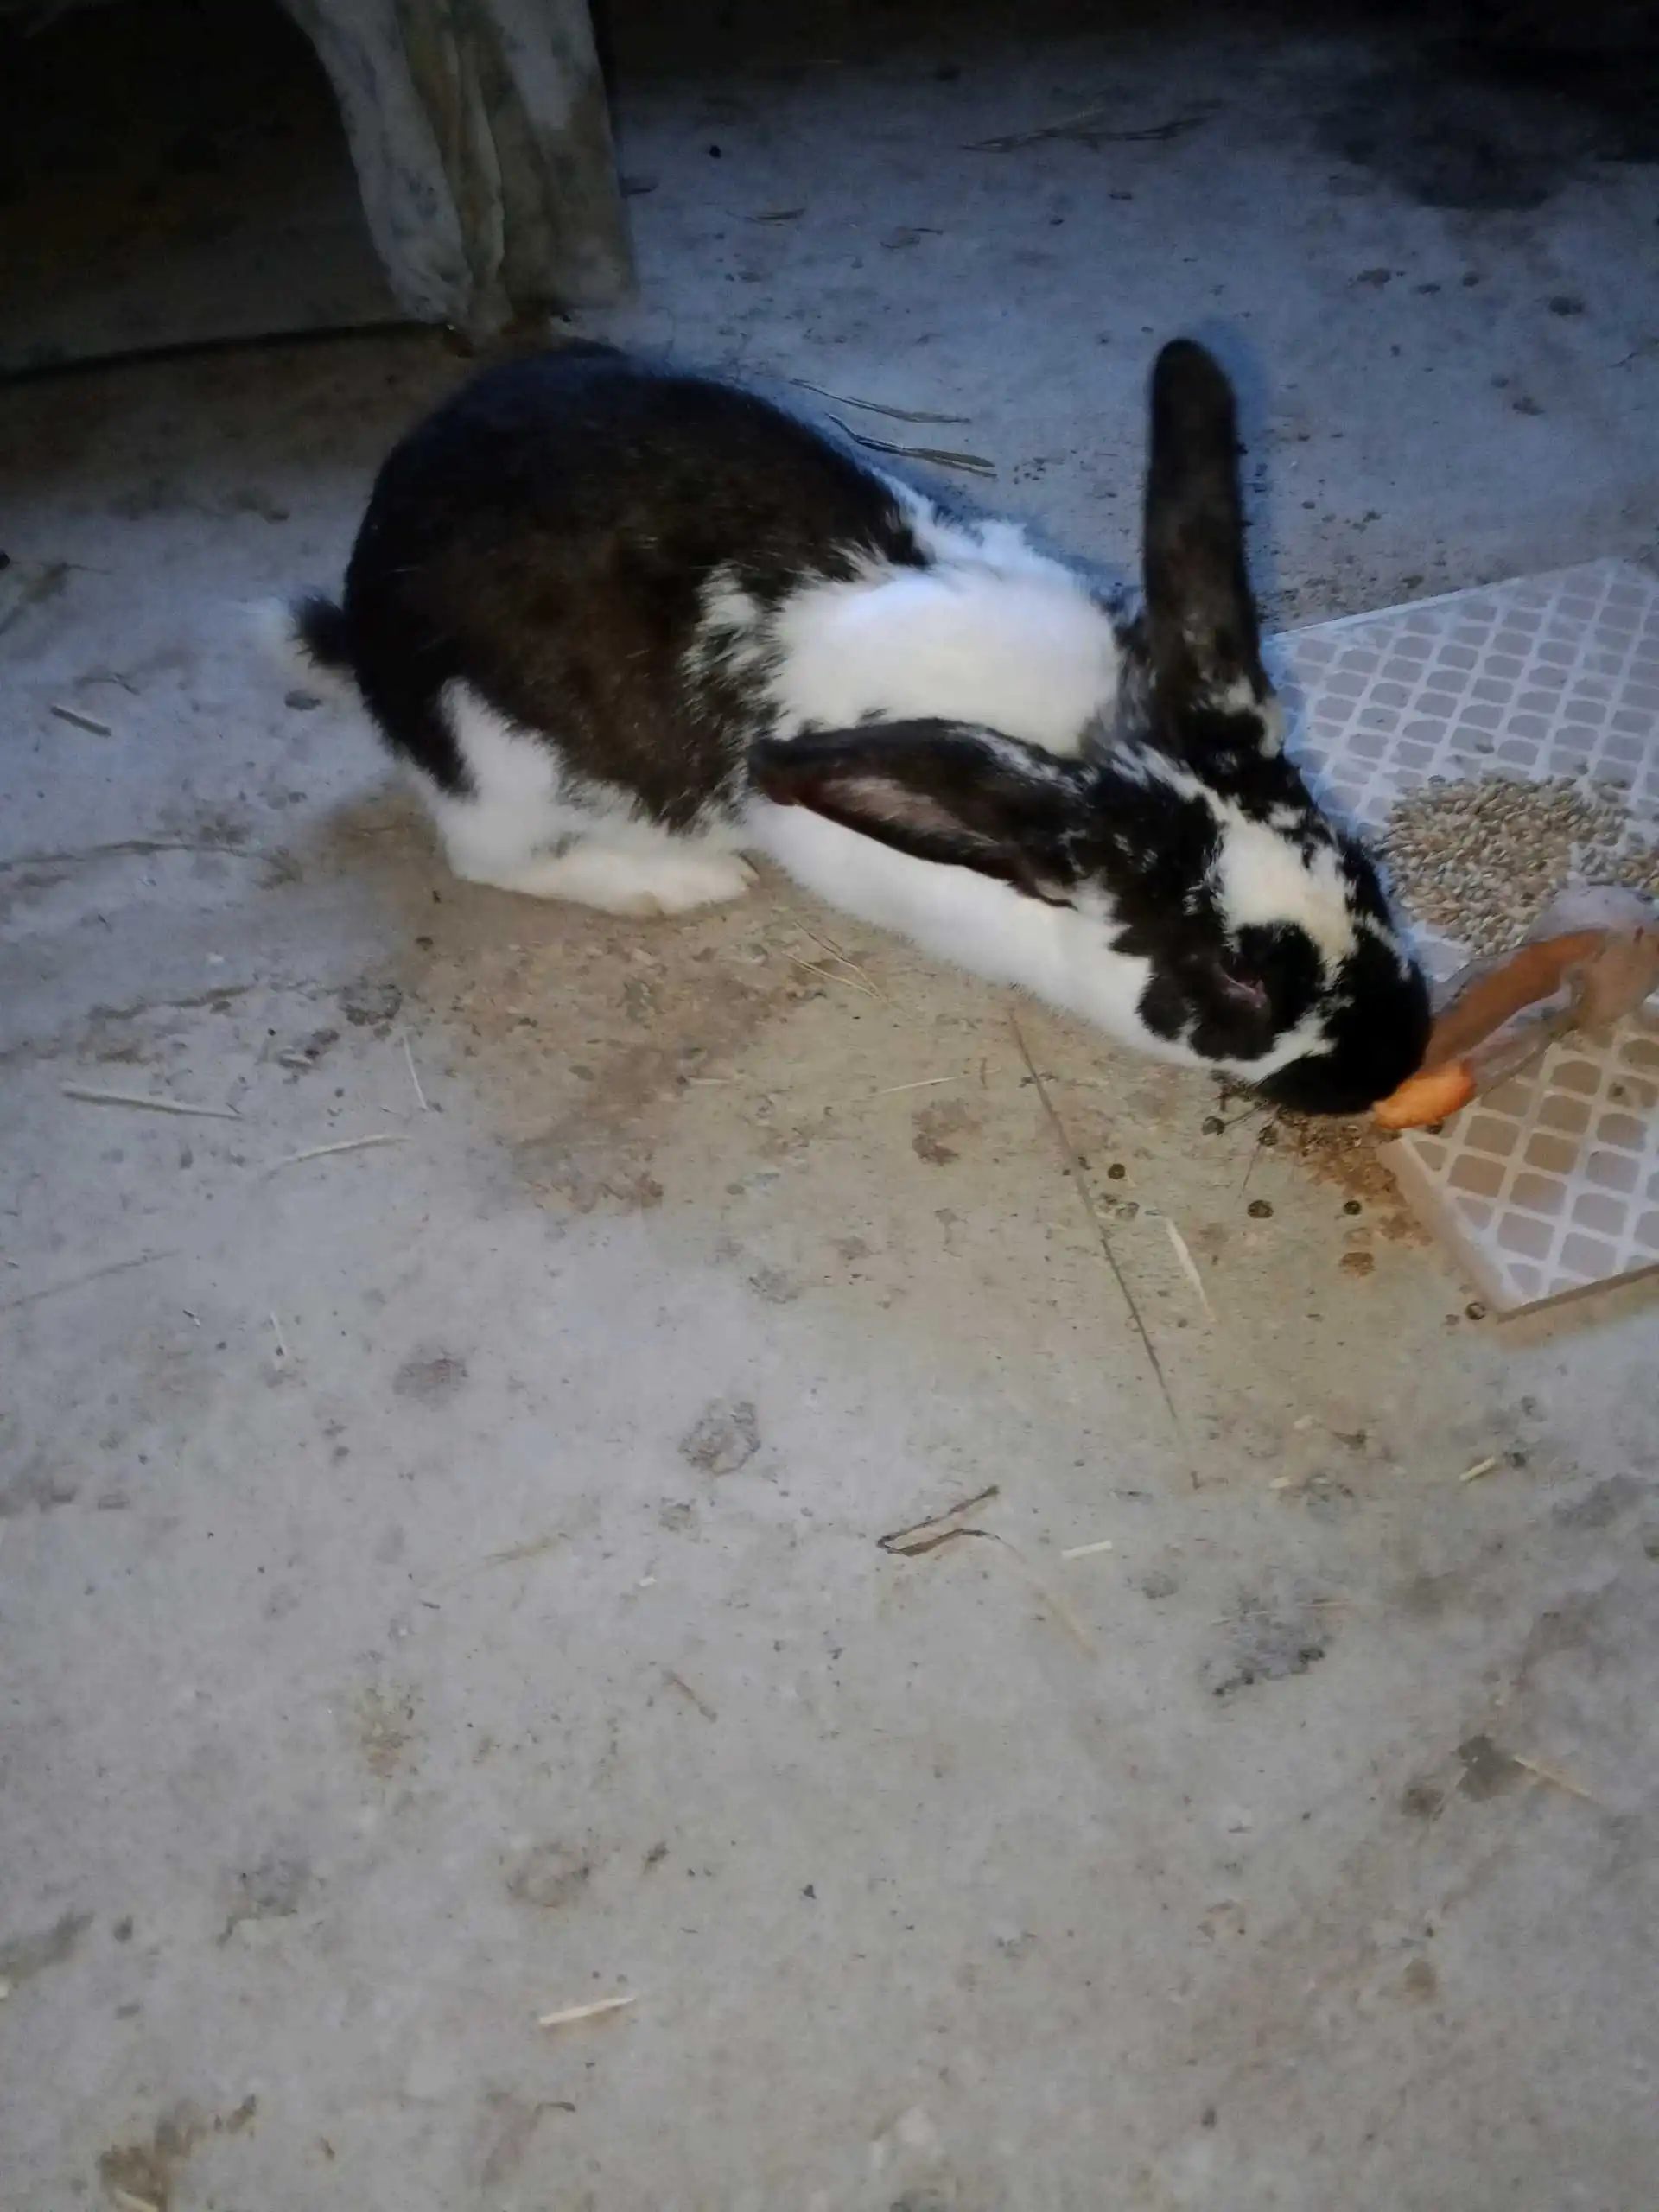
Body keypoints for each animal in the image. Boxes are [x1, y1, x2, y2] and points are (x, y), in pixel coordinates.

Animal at [269, 335, 1430, 1115]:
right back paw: (677, 882)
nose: (1401, 1056)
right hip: (500, 765)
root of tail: (361, 617)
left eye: (1366, 873)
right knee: (488, 860)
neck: (1084, 741)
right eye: (1238, 978)